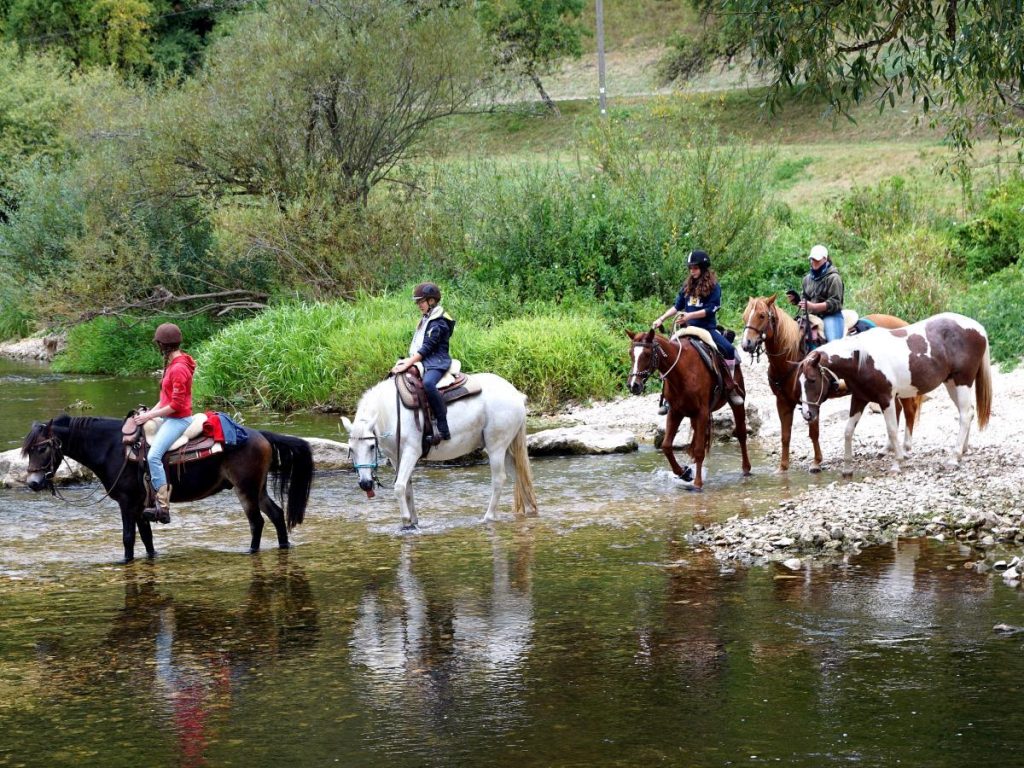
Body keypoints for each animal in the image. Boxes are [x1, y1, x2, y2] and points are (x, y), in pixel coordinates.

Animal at [23, 417, 311, 561]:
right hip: (258, 489)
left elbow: (128, 538)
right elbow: (147, 538)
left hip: (246, 489)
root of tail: (261, 434)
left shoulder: (127, 502)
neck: (112, 448)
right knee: (276, 515)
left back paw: (251, 551)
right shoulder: (140, 505)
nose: (33, 483)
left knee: (257, 522)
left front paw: (125, 561)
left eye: (42, 448)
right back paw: (284, 546)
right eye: (29, 449)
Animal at [342, 372, 540, 528]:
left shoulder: (411, 452)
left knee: (499, 479)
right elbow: (408, 488)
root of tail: (516, 394)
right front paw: (413, 522)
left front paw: (405, 521)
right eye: (351, 450)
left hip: (496, 447)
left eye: (371, 446)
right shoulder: (396, 458)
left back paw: (488, 517)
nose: (366, 484)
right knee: (519, 475)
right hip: (503, 448)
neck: (390, 412)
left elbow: (399, 487)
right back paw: (530, 510)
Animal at [622, 327, 753, 489]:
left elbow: (699, 450)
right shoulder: (675, 412)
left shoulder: (702, 412)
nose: (633, 385)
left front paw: (697, 483)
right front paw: (684, 473)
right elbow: (666, 446)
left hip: (736, 402)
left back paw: (746, 469)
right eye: (630, 353)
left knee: (741, 434)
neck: (682, 371)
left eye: (647, 354)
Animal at [741, 296, 925, 473]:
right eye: (744, 316)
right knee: (898, 410)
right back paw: (887, 448)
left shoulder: (812, 401)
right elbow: (785, 435)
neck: (791, 356)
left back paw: (905, 449)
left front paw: (816, 463)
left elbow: (813, 433)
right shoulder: (783, 401)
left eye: (762, 315)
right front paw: (782, 467)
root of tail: (904, 324)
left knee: (909, 411)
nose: (746, 344)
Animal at [798, 311, 991, 475]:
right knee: (968, 411)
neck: (862, 359)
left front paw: (897, 463)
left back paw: (954, 457)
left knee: (965, 415)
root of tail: (978, 328)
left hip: (962, 382)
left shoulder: (886, 399)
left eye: (812, 380)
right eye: (799, 382)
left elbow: (891, 429)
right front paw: (847, 468)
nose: (807, 414)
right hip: (951, 383)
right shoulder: (859, 398)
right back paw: (962, 450)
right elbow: (848, 430)